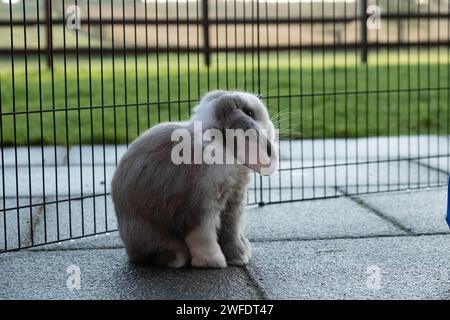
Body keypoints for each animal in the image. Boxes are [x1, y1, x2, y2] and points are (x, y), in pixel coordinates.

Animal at [110, 90, 278, 268]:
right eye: (250, 113)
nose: (272, 129)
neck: (221, 145)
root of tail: (130, 251)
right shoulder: (202, 206)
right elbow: (203, 236)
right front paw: (212, 262)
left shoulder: (232, 204)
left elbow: (231, 232)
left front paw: (239, 257)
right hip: (150, 232)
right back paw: (176, 258)